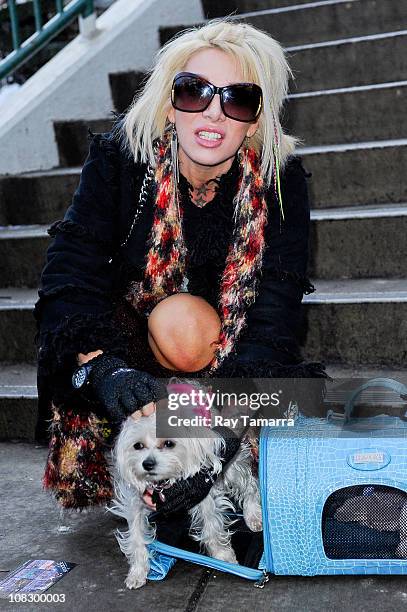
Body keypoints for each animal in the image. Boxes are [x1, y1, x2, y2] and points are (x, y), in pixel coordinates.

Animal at [108, 412, 262, 588]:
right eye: (138, 446)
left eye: (168, 443)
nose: (147, 464)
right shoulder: (135, 507)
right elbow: (136, 537)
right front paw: (138, 571)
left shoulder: (202, 493)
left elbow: (212, 526)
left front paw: (222, 555)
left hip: (233, 470)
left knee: (251, 486)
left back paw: (254, 515)